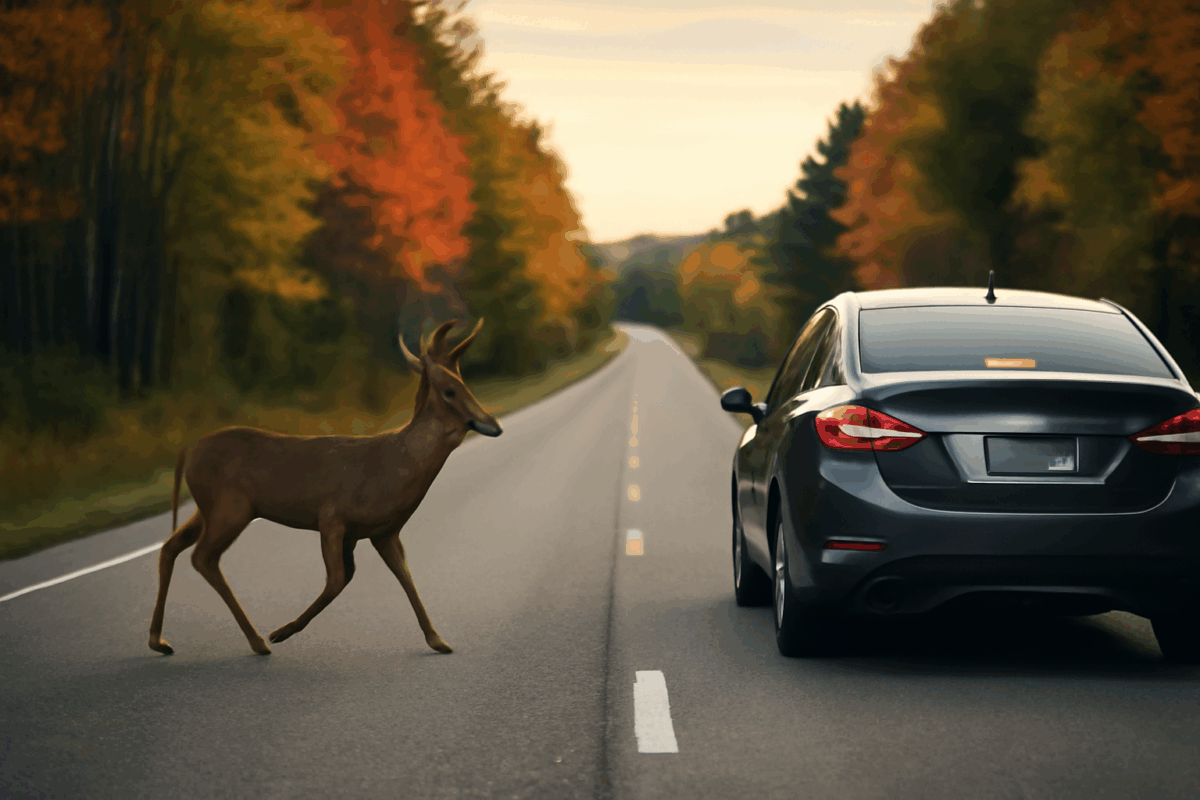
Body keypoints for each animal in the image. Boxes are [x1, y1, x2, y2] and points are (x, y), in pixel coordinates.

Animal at [147, 318, 502, 656]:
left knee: (172, 546)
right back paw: (258, 640)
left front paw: (438, 640)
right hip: (232, 509)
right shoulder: (333, 516)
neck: (394, 467)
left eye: (465, 384)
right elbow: (338, 580)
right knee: (202, 557)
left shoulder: (382, 532)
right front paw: (282, 632)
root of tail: (188, 451)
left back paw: (160, 641)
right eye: (450, 390)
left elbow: (403, 576)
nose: (494, 424)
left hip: (208, 508)